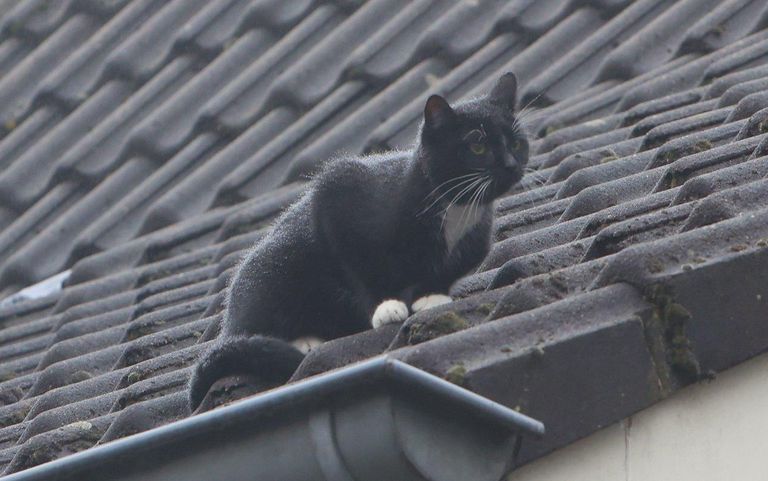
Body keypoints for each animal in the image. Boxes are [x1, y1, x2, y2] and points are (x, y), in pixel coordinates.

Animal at [189, 71, 532, 408]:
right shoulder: (337, 195)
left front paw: (431, 296)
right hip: (270, 270)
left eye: (516, 143)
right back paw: (303, 338)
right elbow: (359, 271)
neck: (454, 209)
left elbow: (443, 273)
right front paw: (386, 307)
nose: (511, 165)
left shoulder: (473, 243)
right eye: (478, 147)